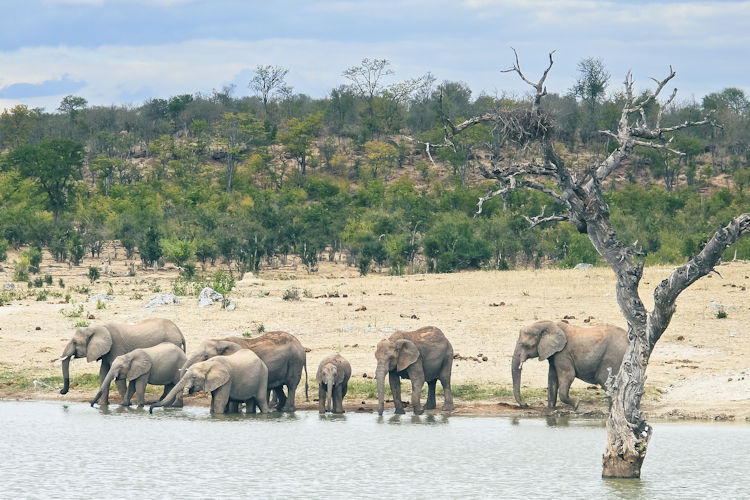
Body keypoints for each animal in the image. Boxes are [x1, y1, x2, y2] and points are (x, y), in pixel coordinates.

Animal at [57, 318, 186, 405]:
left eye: (75, 342)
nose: (62, 391)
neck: (98, 327)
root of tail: (180, 332)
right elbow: (103, 374)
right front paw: (103, 405)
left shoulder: (116, 347)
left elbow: (117, 379)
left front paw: (125, 405)